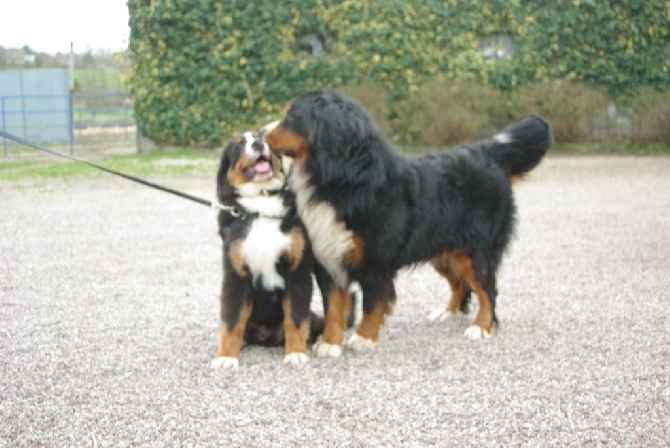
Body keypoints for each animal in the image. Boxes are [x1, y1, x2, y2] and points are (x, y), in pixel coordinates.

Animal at [266, 89, 552, 358]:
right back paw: (447, 313)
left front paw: (363, 338)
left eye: (290, 116)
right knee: (460, 284)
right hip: (444, 250)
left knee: (487, 289)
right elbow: (334, 306)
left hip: (478, 251)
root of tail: (484, 152)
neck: (342, 178)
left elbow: (372, 303)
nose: (261, 133)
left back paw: (481, 326)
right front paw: (329, 343)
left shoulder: (375, 262)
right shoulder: (328, 257)